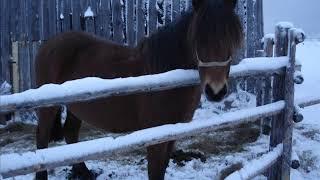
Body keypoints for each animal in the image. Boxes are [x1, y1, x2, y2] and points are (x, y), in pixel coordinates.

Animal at [35, 0, 242, 179]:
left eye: (232, 38)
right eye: (198, 39)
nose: (216, 91)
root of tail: (50, 42)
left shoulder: (171, 134)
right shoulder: (155, 137)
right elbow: (155, 172)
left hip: (76, 107)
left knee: (70, 134)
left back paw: (85, 173)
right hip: (48, 108)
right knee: (42, 139)